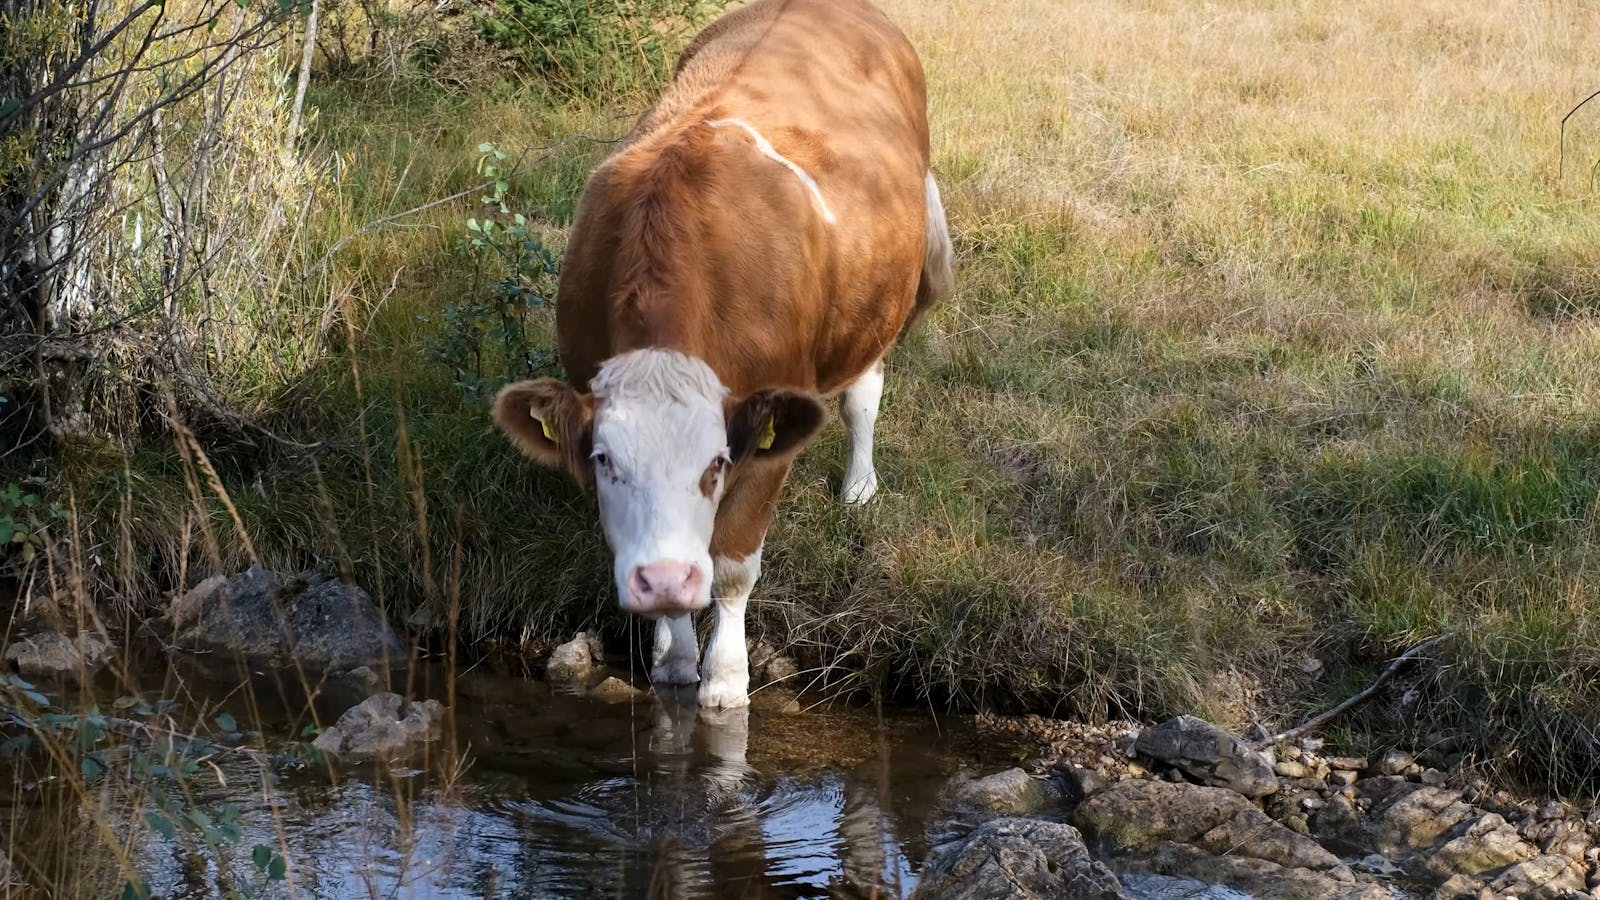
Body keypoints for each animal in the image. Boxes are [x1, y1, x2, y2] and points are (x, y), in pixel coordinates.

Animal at [492, 0, 953, 709]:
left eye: (717, 462)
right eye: (604, 461)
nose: (662, 579)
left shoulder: (771, 426)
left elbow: (732, 566)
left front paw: (726, 677)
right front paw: (675, 656)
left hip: (879, 306)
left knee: (863, 395)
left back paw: (858, 485)